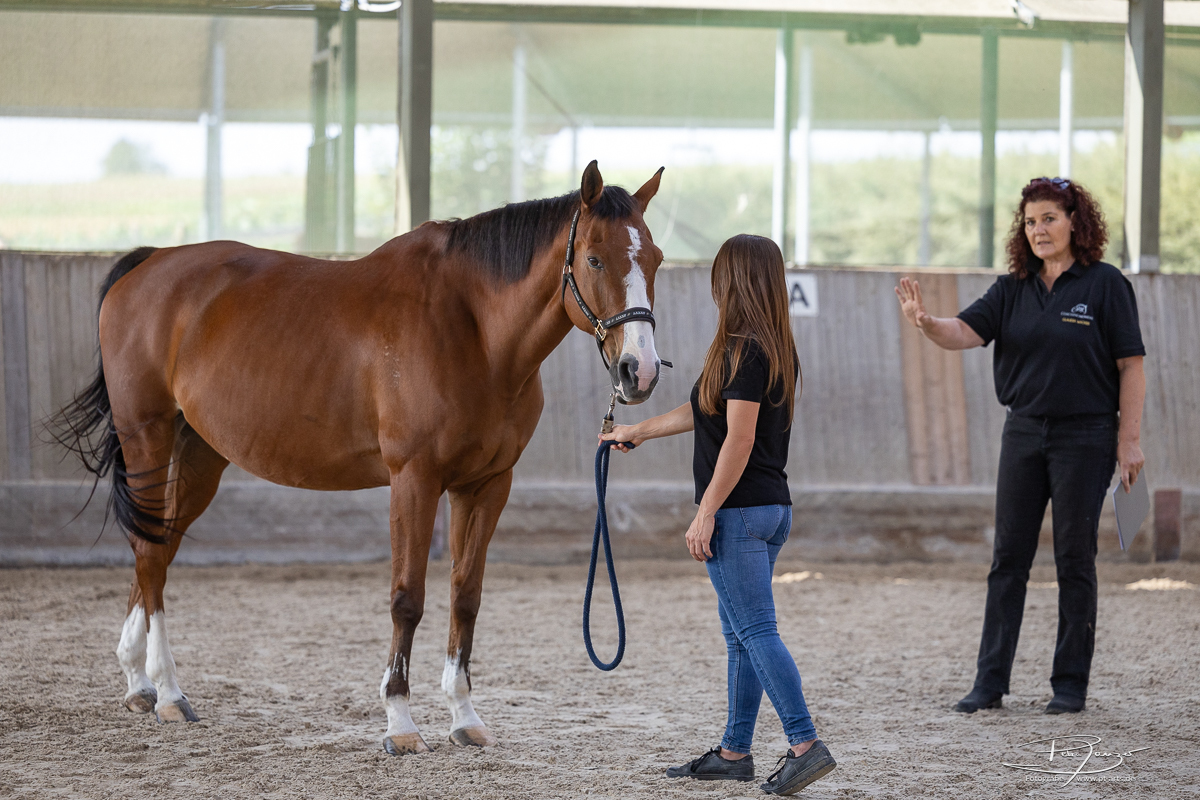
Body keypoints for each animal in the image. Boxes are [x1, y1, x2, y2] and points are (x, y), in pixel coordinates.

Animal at [54, 163, 667, 758]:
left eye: (656, 259)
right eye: (593, 258)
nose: (639, 371)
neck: (472, 327)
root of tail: (148, 263)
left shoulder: (487, 484)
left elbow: (465, 596)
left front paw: (465, 718)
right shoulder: (414, 479)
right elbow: (407, 599)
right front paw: (401, 724)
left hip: (201, 454)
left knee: (158, 547)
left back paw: (139, 682)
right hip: (148, 440)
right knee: (150, 552)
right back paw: (168, 692)